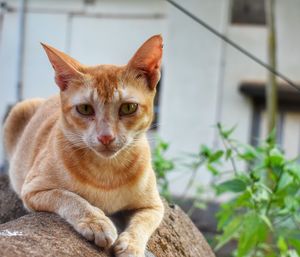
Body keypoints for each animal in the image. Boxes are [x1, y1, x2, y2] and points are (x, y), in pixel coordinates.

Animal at [3, 34, 164, 256]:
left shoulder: (154, 206)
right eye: (85, 109)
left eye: (129, 108)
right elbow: (69, 197)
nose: (106, 137)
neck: (107, 173)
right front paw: (96, 221)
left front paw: (131, 244)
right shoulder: (33, 190)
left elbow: (143, 222)